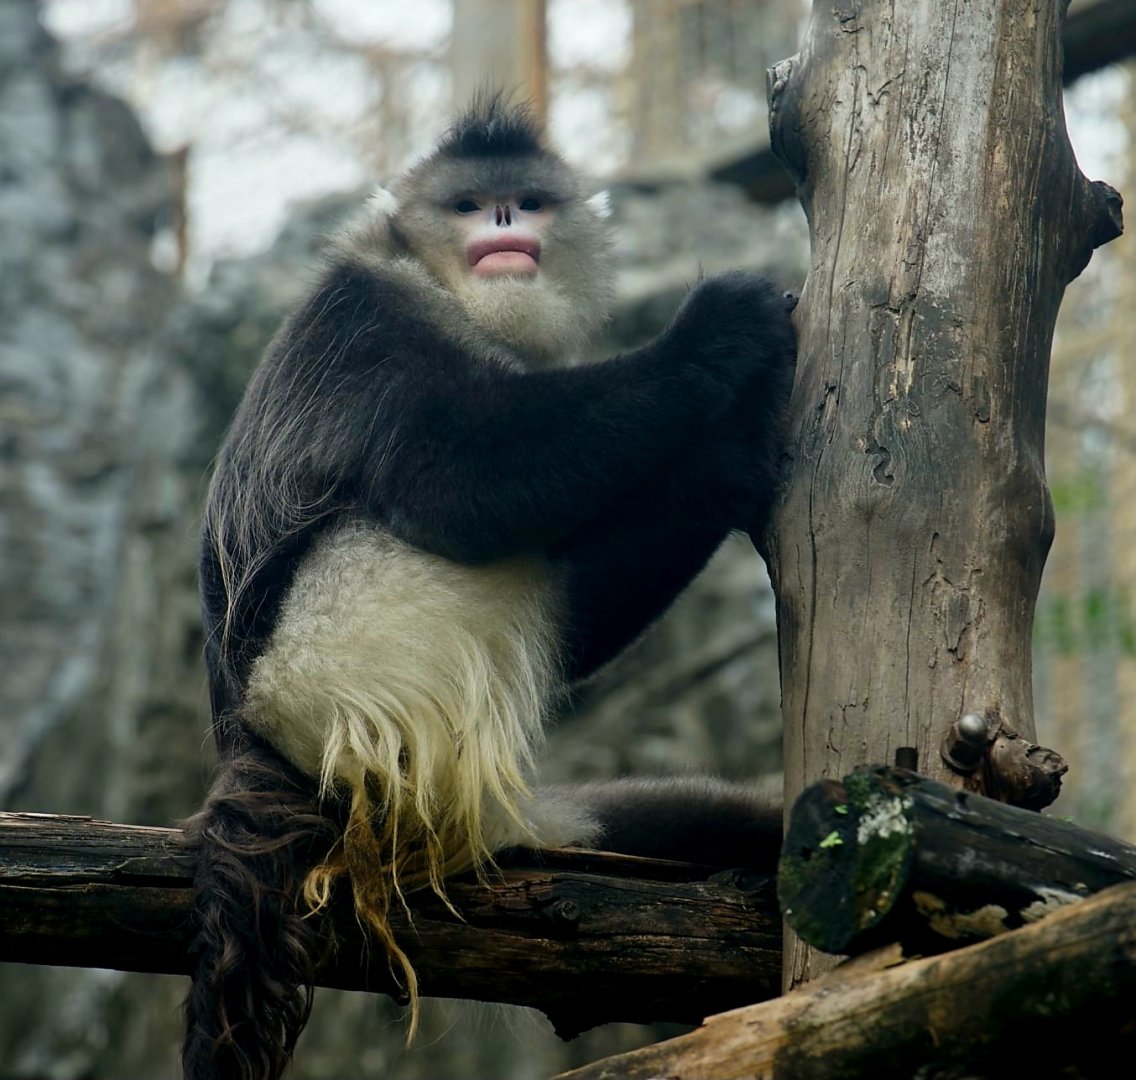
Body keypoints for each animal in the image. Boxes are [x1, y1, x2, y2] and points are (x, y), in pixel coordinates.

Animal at [183, 95, 795, 1080]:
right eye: (469, 204)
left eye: (528, 201)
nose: (505, 220)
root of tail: (252, 754)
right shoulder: (373, 323)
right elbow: (464, 483)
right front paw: (722, 341)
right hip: (330, 689)